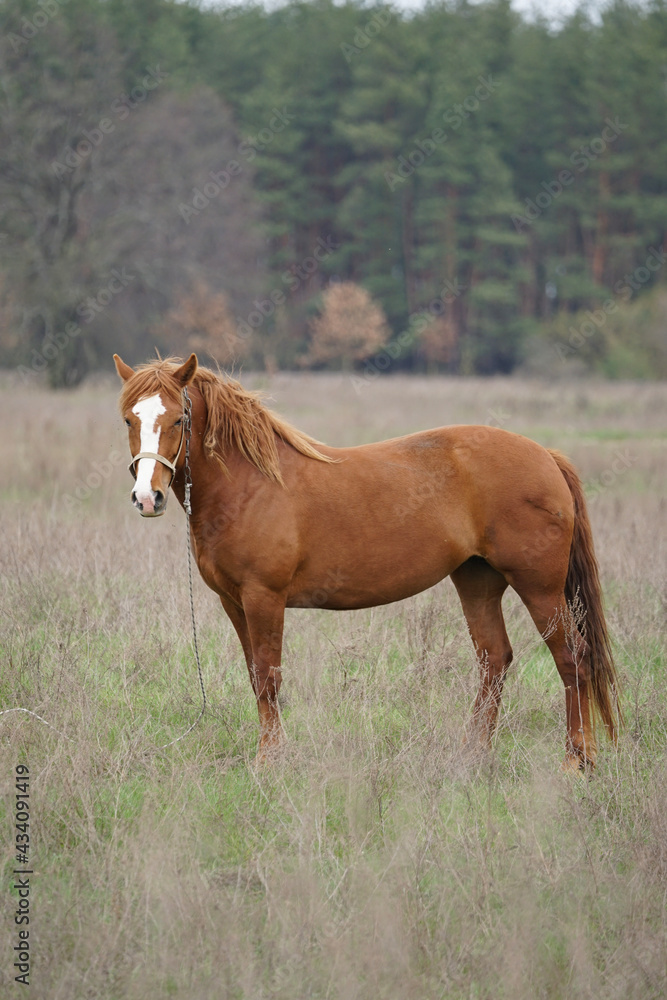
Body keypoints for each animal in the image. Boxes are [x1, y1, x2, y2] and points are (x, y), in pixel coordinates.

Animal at [113, 353, 621, 769]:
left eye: (179, 418)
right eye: (127, 420)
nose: (147, 497)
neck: (250, 484)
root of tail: (545, 456)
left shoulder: (264, 598)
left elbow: (269, 678)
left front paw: (270, 763)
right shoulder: (233, 602)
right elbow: (256, 677)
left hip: (539, 587)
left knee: (572, 657)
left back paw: (577, 760)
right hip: (477, 581)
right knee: (494, 659)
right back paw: (473, 754)